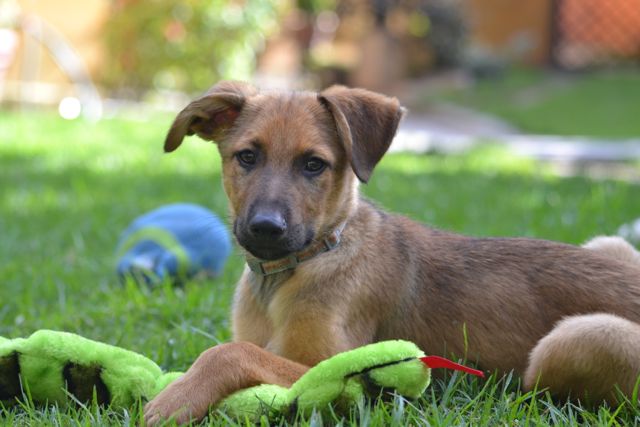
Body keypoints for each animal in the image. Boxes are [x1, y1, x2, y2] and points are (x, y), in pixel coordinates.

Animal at [144, 81, 640, 425]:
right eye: (247, 157)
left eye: (313, 165)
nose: (266, 228)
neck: (298, 267)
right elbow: (231, 346)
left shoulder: (329, 364)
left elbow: (228, 353)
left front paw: (173, 398)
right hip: (609, 246)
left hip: (581, 337)